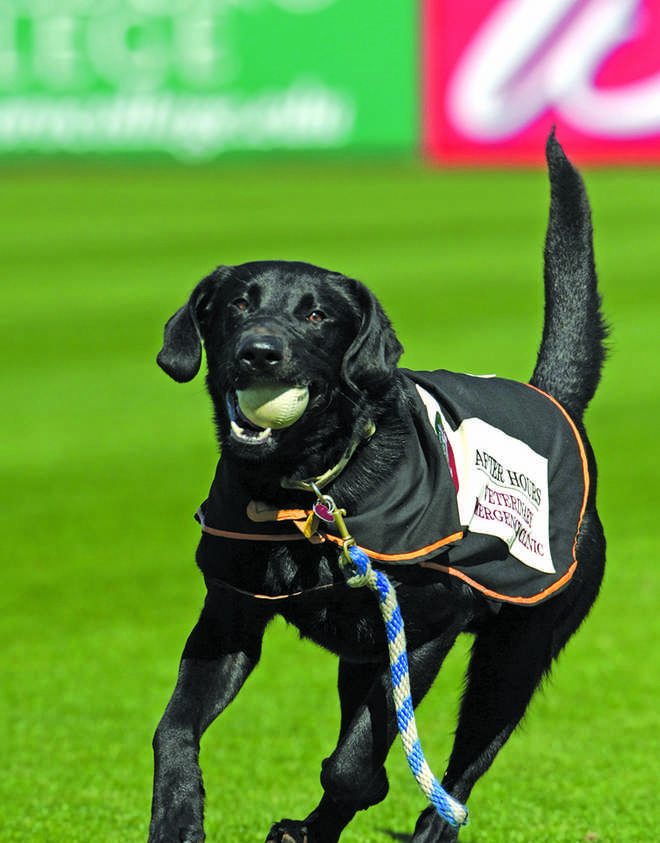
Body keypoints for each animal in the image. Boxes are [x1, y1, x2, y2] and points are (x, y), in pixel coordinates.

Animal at [150, 135, 608, 840]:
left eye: (316, 314)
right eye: (237, 305)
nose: (259, 352)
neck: (308, 491)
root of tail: (554, 402)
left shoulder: (423, 631)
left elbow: (356, 765)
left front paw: (348, 796)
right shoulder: (230, 615)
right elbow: (173, 726)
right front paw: (178, 814)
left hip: (514, 655)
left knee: (460, 773)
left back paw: (425, 824)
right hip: (363, 655)